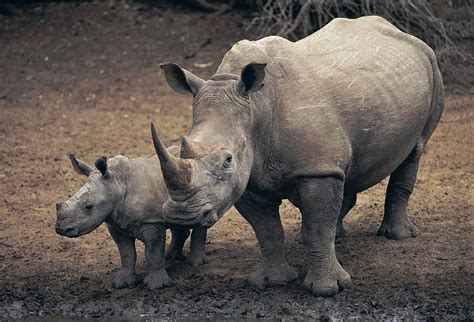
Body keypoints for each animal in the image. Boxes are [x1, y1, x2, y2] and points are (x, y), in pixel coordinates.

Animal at [55, 151, 207, 290]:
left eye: (88, 206)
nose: (61, 229)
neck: (116, 184)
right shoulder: (115, 224)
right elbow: (126, 253)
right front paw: (122, 283)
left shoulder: (151, 222)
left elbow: (153, 252)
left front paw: (157, 285)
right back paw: (172, 257)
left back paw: (195, 263)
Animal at [152, 16, 444, 296]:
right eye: (182, 149)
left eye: (227, 160)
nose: (182, 214)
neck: (256, 110)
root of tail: (398, 30)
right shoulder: (248, 179)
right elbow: (268, 231)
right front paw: (272, 281)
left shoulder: (315, 169)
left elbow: (316, 228)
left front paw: (327, 289)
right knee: (345, 172)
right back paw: (339, 235)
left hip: (433, 67)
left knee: (415, 150)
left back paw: (398, 236)